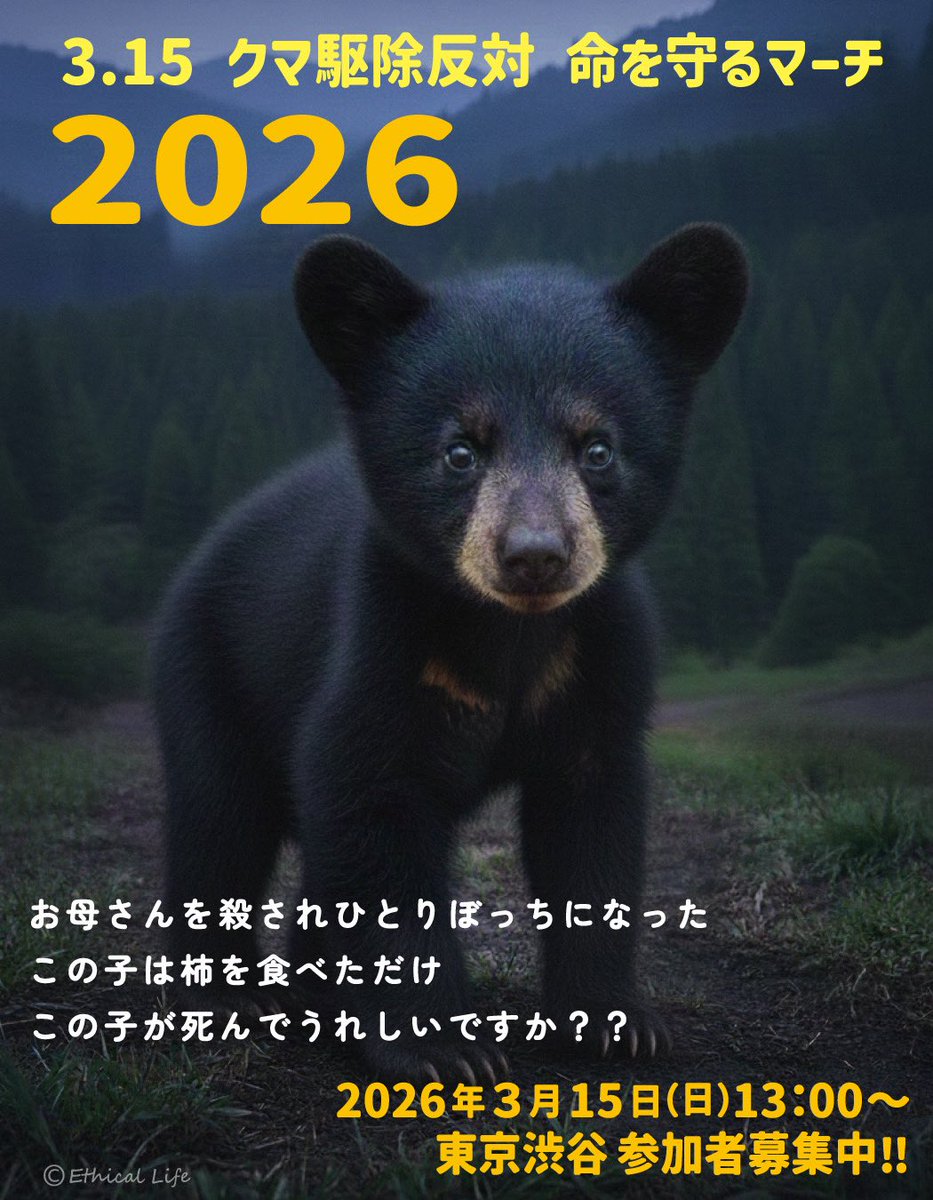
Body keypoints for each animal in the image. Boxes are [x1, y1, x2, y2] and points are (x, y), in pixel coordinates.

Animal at [152, 224, 748, 1083]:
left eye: (597, 448)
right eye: (460, 451)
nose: (534, 556)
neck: (509, 633)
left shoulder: (602, 662)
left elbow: (594, 832)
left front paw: (616, 1025)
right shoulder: (377, 647)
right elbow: (372, 816)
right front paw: (439, 1045)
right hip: (208, 670)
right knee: (216, 824)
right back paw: (223, 998)